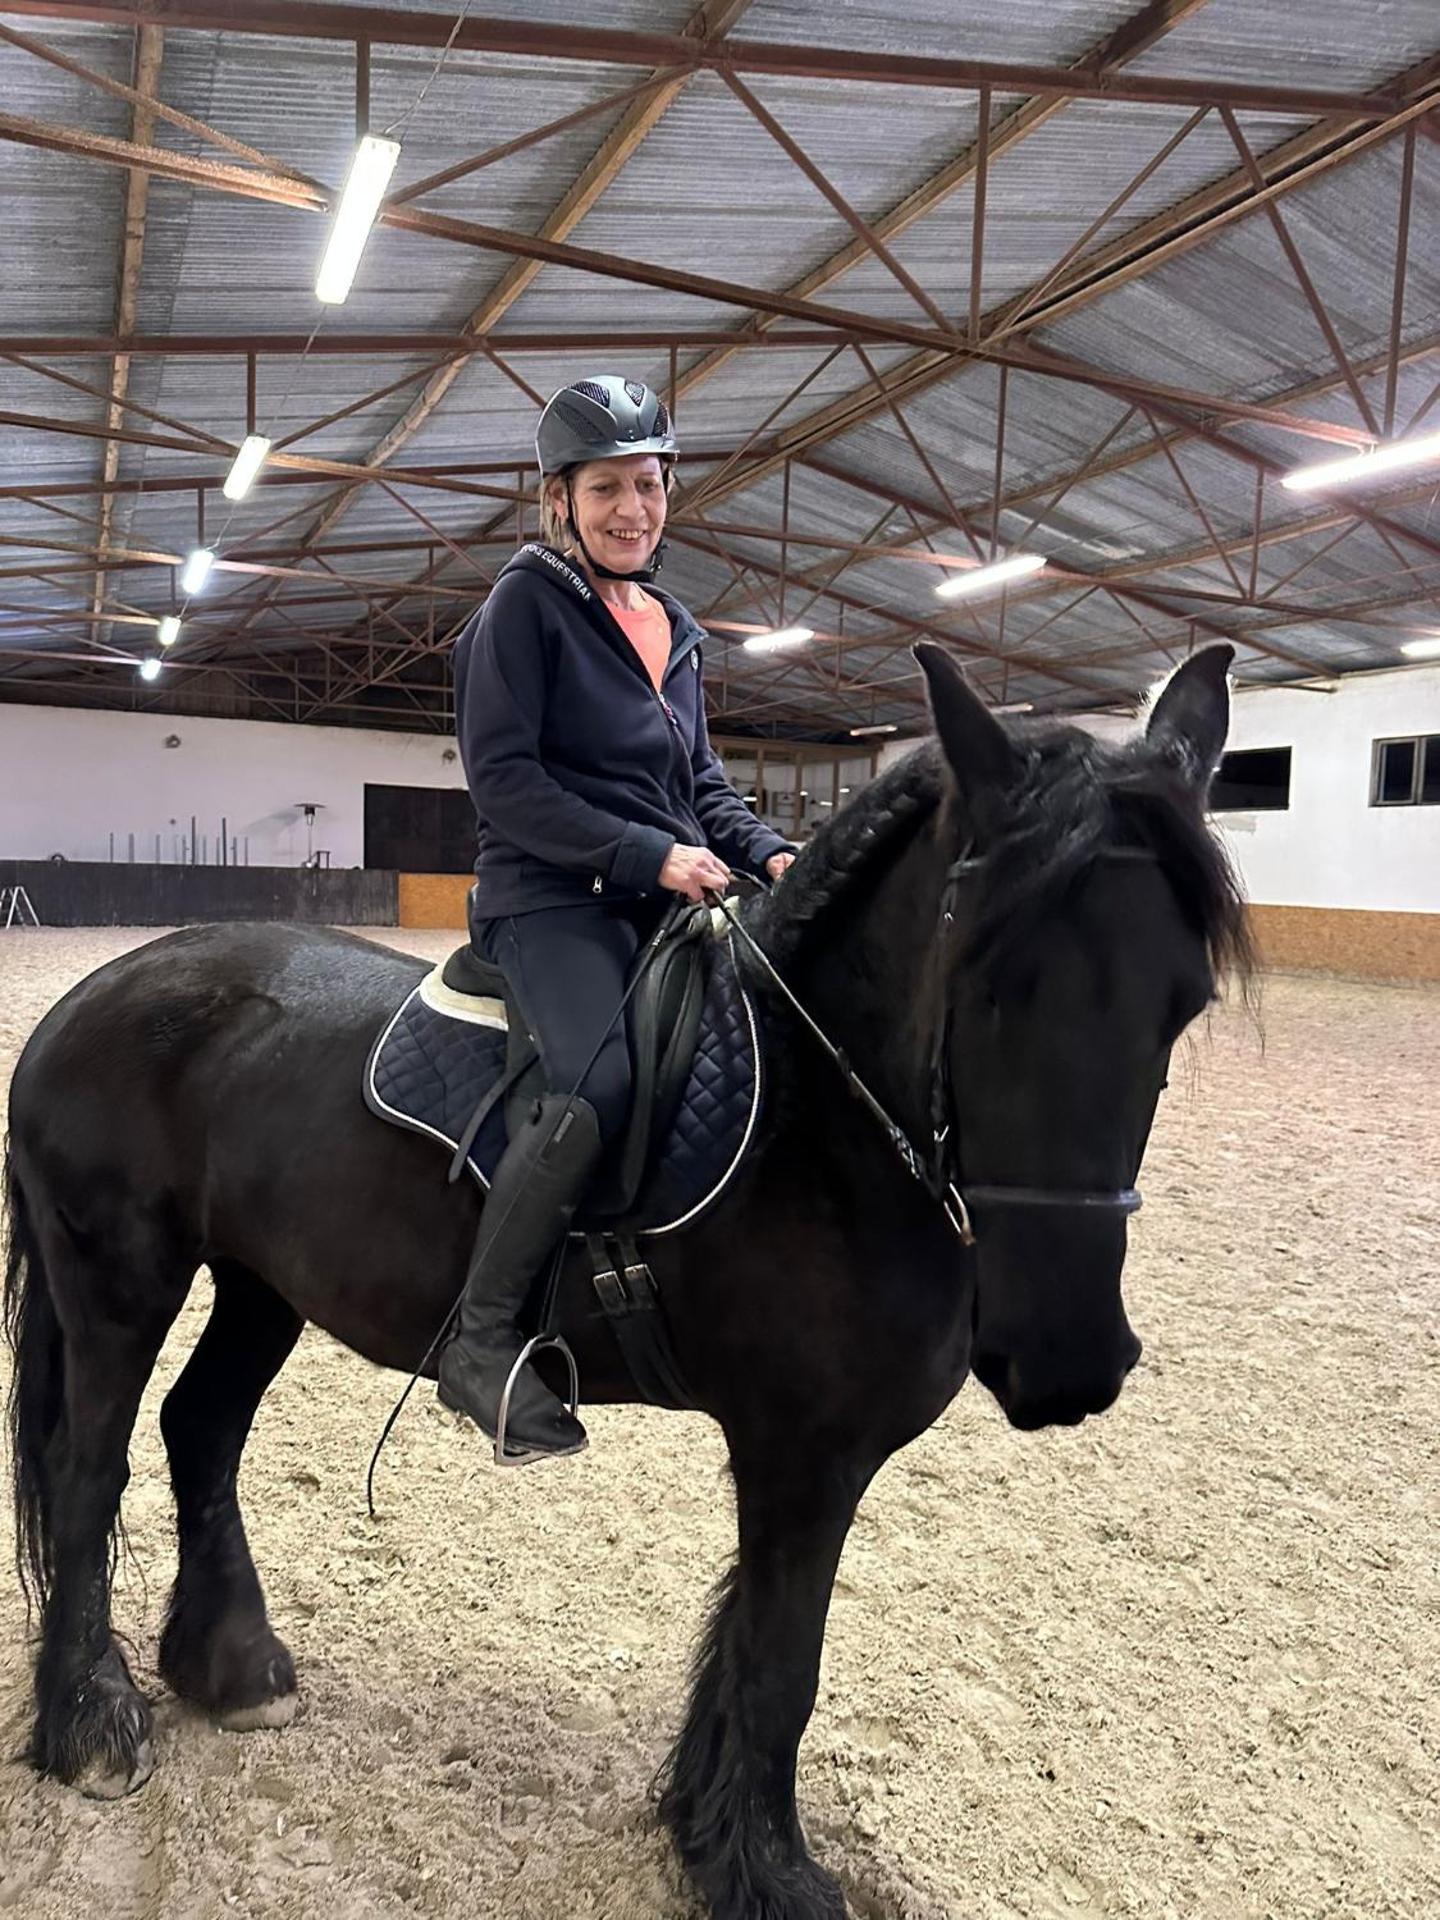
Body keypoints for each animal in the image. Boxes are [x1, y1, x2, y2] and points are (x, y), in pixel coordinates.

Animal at [3, 642, 1250, 1920]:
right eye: (985, 982)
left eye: (1185, 1003)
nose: (1068, 1359)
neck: (819, 1112)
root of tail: (89, 998)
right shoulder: (804, 1452)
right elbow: (782, 1662)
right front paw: (772, 1873)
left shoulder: (802, 1460)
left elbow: (748, 1641)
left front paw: (709, 1834)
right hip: (119, 1282)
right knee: (89, 1468)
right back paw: (92, 1723)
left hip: (262, 1285)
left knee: (200, 1427)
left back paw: (234, 1668)